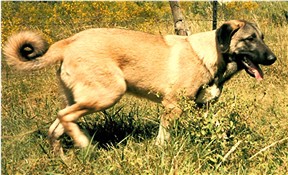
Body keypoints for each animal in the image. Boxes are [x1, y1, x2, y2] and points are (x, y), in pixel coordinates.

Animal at [2, 20, 276, 152]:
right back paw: (85, 144)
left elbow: (219, 131)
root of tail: (68, 41)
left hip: (81, 98)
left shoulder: (203, 109)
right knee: (63, 117)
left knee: (56, 127)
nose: (273, 59)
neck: (212, 54)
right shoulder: (172, 106)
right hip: (109, 93)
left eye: (262, 38)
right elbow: (163, 139)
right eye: (250, 39)